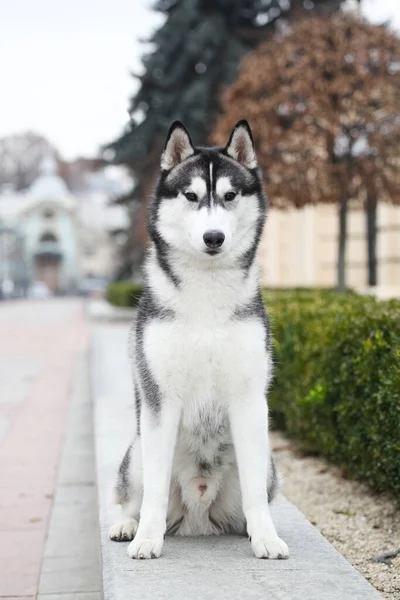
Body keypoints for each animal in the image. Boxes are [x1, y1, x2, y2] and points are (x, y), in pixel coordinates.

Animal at [108, 119, 290, 560]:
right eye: (191, 196)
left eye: (230, 196)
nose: (213, 237)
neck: (206, 295)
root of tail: (197, 517)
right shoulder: (160, 400)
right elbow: (154, 492)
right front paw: (147, 538)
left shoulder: (249, 399)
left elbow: (255, 494)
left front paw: (266, 538)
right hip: (136, 451)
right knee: (133, 496)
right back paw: (127, 525)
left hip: (268, 464)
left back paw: (248, 530)